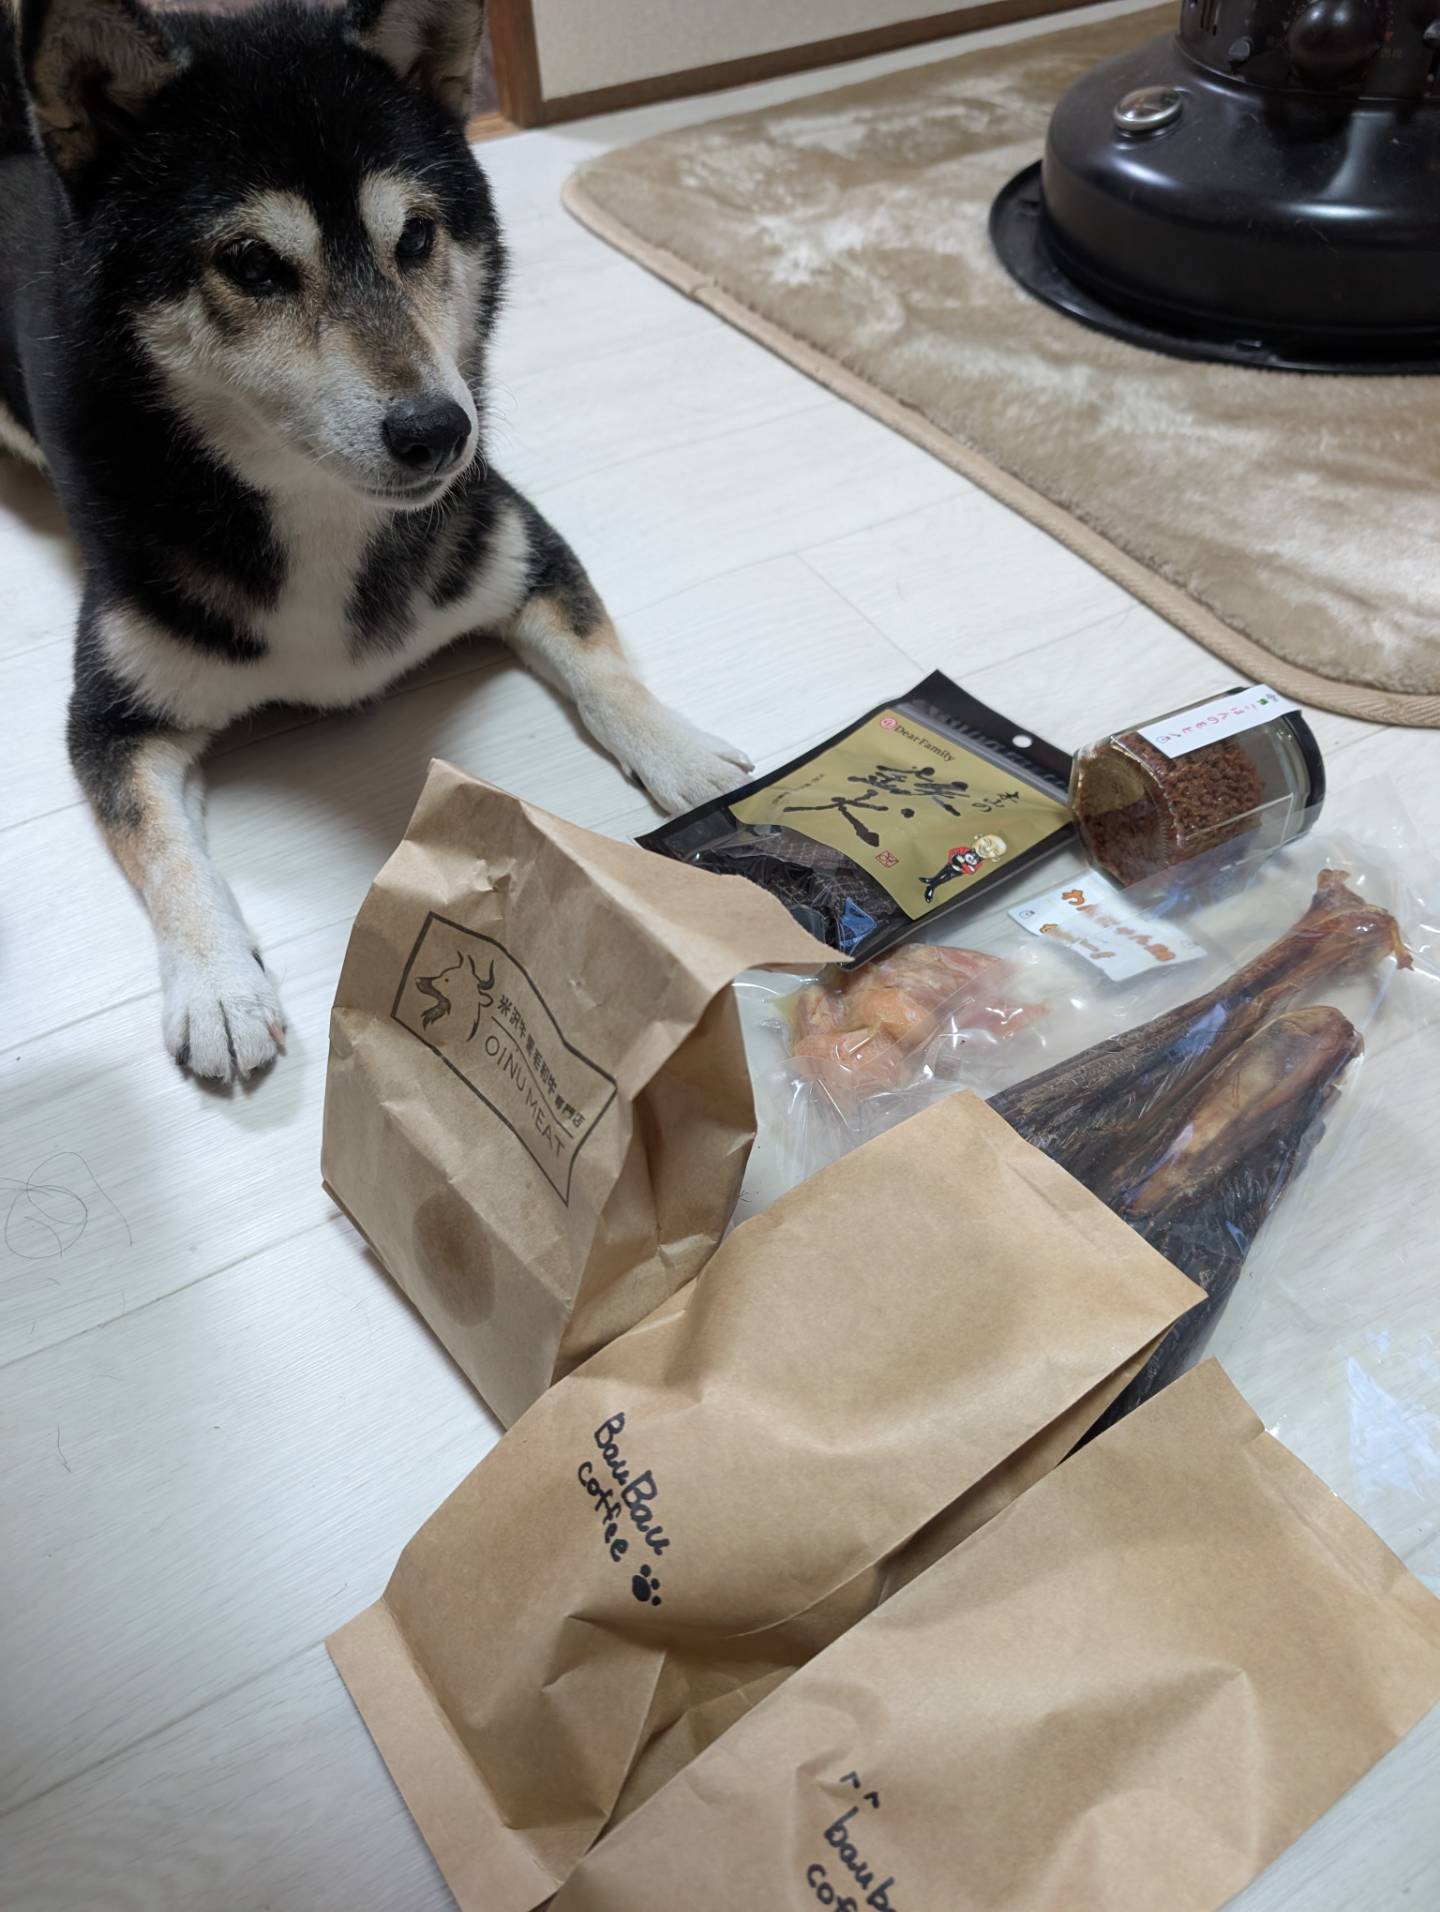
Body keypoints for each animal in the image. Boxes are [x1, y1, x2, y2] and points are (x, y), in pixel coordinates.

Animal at [0, 0, 751, 1080]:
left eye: (419, 235)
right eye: (252, 264)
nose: (440, 430)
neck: (319, 515)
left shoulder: (515, 544)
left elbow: (603, 665)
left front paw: (681, 754)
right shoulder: (112, 714)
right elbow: (163, 850)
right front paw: (218, 983)